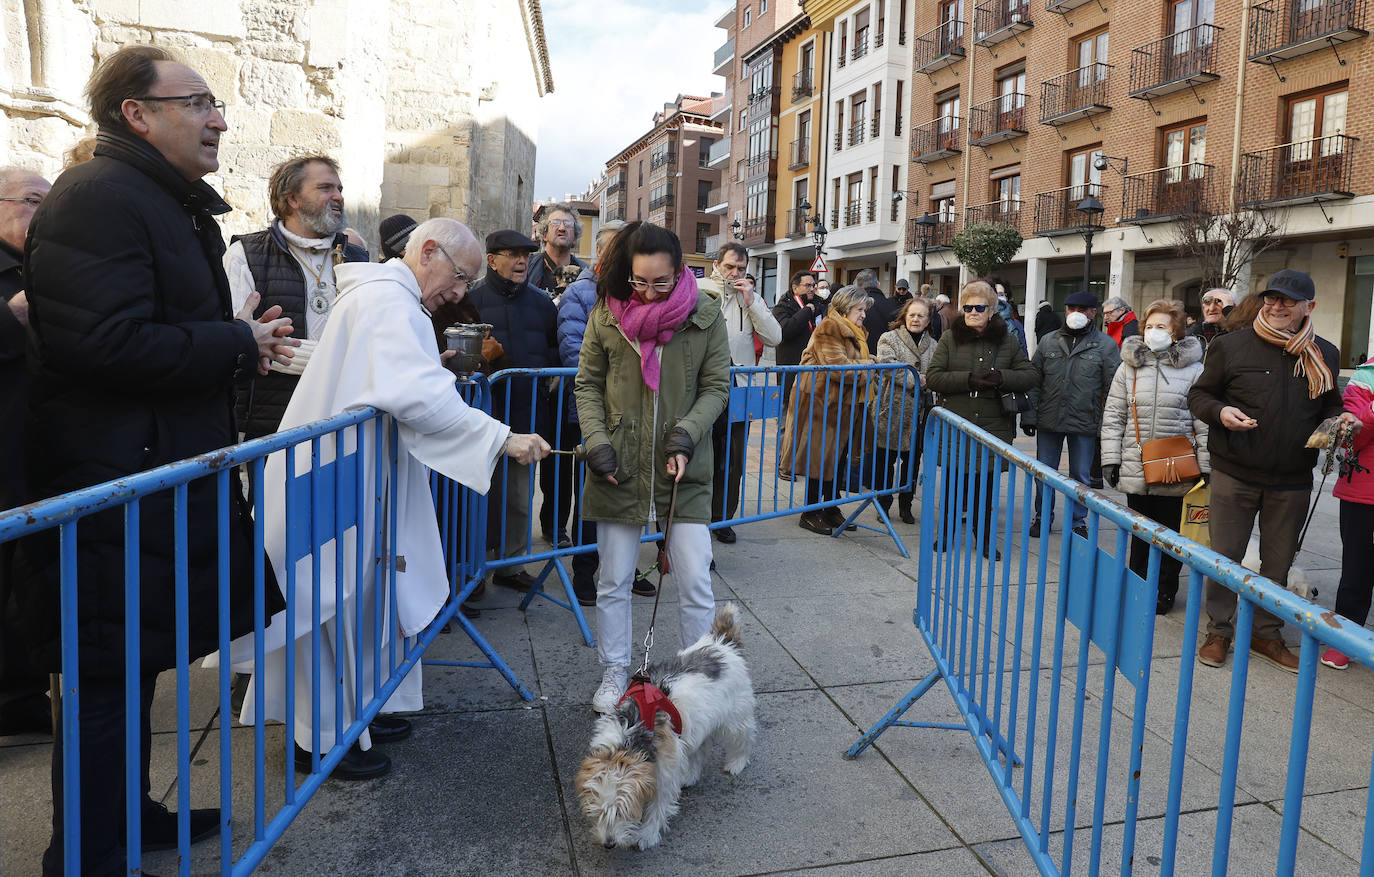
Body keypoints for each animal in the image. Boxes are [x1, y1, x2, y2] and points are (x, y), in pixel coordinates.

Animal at [574, 604, 758, 852]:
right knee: (701, 748)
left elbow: (658, 807)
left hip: (735, 719)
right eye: (597, 812)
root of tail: (722, 642)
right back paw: (690, 775)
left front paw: (647, 835)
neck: (629, 732)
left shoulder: (664, 773)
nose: (609, 844)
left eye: (622, 812)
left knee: (744, 737)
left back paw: (737, 763)